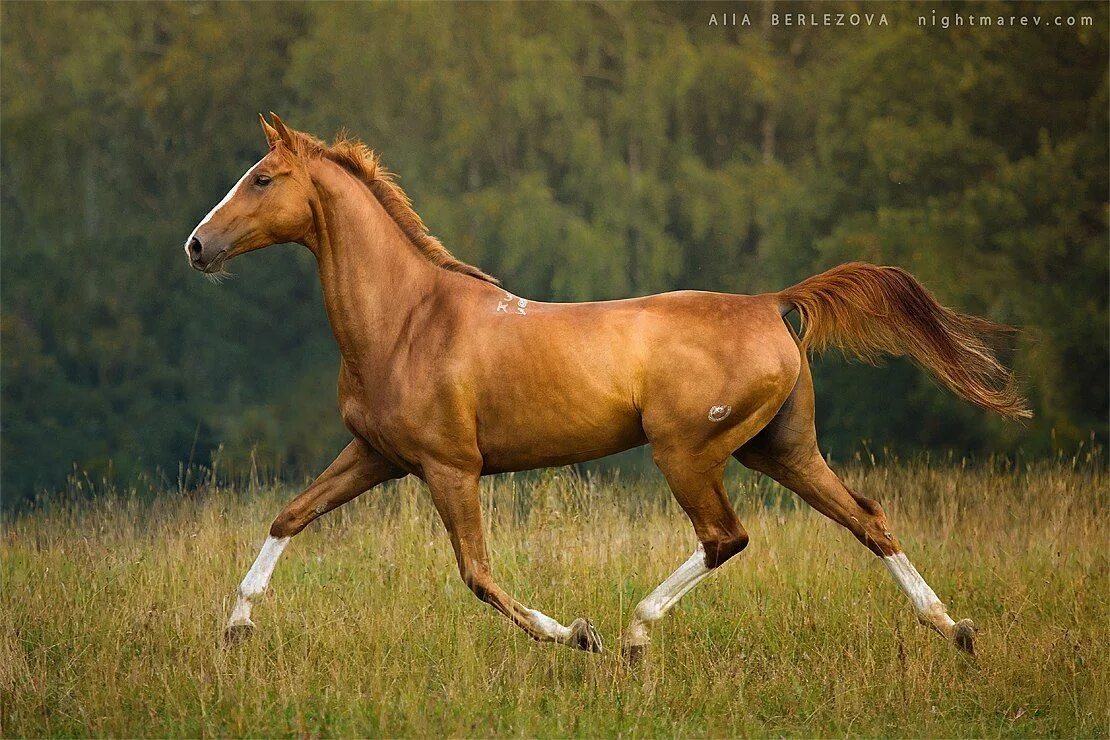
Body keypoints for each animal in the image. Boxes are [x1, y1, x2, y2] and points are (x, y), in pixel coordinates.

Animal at [186, 117, 1025, 665]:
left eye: (261, 178)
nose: (197, 245)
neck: (407, 321)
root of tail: (768, 303)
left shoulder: (450, 468)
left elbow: (478, 576)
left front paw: (578, 635)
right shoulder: (376, 455)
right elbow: (289, 515)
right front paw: (234, 630)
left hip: (687, 451)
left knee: (726, 537)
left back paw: (632, 634)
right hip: (779, 449)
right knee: (866, 518)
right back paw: (955, 629)